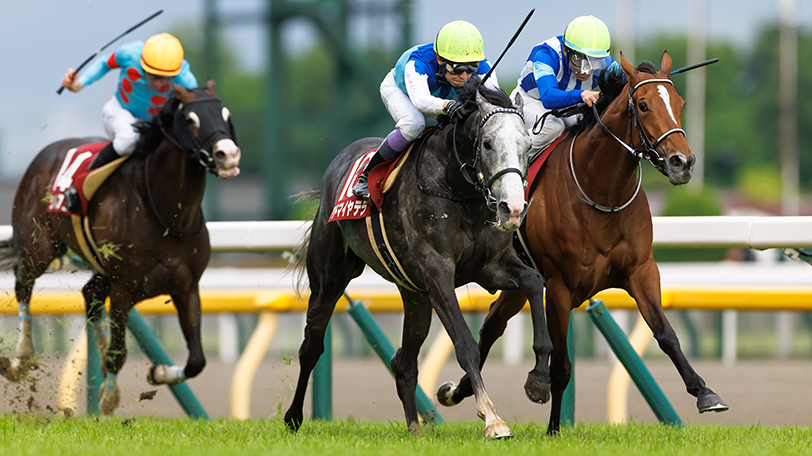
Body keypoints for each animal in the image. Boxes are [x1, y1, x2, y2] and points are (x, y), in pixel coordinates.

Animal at [0, 81, 240, 415]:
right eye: (191, 118)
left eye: (225, 114)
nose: (227, 154)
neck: (167, 214)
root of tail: (43, 155)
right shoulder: (125, 290)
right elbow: (119, 353)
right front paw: (108, 400)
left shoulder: (187, 287)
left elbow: (197, 360)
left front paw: (158, 373)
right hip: (38, 247)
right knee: (23, 283)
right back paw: (21, 357)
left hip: (102, 269)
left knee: (89, 295)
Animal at [283, 77, 554, 438]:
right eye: (487, 144)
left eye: (527, 144)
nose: (512, 207)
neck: (457, 189)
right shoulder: (437, 272)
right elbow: (465, 344)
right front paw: (492, 419)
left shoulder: (490, 266)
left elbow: (533, 280)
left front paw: (539, 380)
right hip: (329, 278)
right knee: (311, 344)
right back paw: (293, 416)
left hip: (415, 295)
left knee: (404, 362)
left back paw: (414, 426)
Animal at [436, 52, 728, 434]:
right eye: (643, 105)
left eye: (679, 104)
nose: (683, 162)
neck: (600, 191)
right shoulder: (560, 286)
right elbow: (562, 366)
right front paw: (552, 425)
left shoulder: (642, 270)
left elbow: (666, 334)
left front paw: (705, 392)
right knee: (493, 328)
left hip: (517, 282)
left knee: (492, 325)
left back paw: (457, 390)